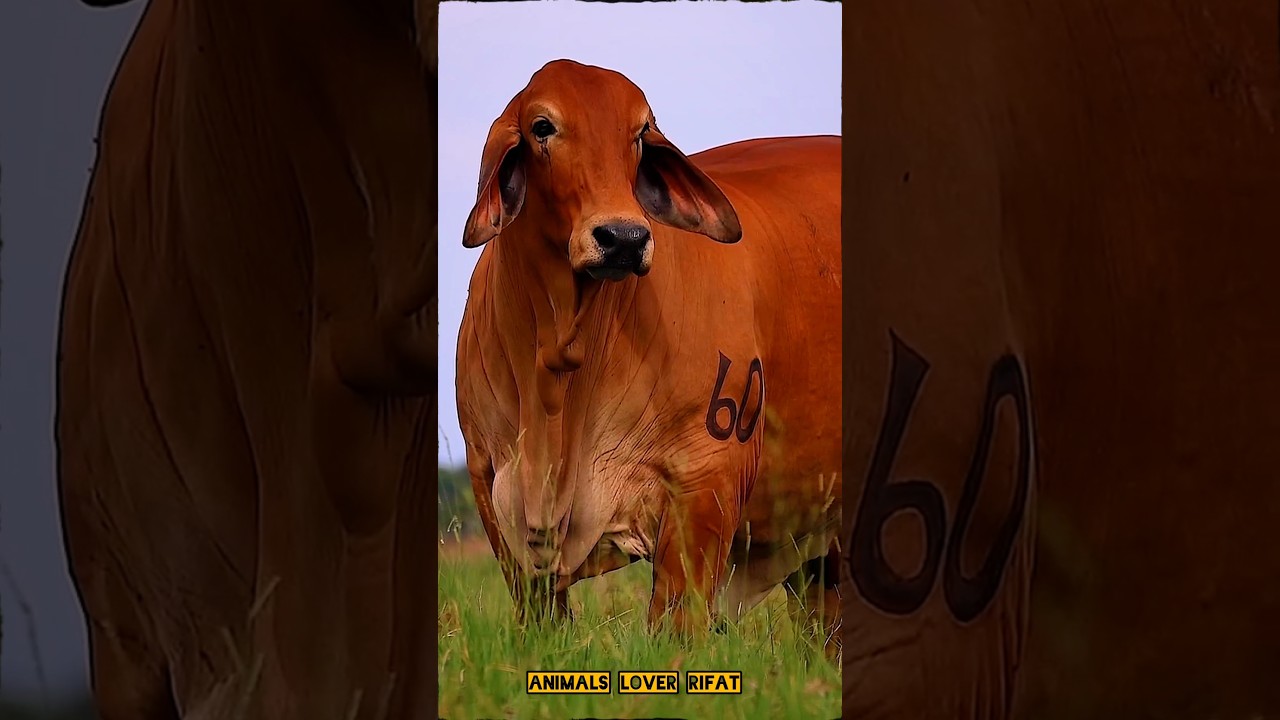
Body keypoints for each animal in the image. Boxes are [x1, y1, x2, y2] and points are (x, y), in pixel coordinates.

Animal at [453, 60, 843, 650]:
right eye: (543, 126)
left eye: (639, 133)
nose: (623, 238)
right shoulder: (490, 483)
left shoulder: (705, 482)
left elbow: (675, 627)